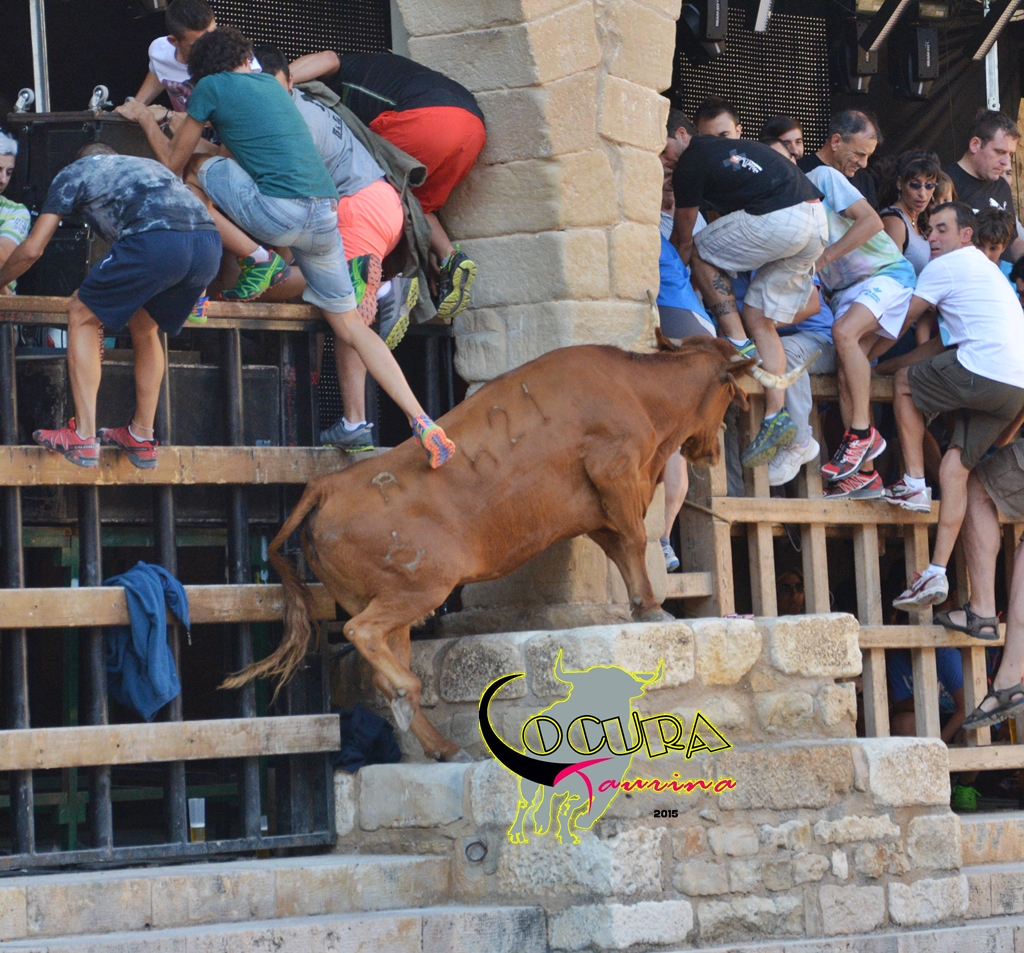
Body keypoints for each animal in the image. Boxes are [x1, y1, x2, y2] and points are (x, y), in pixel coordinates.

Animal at [223, 334, 814, 761]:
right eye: (731, 394)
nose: (710, 451)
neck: (636, 389)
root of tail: (328, 485)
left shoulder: (596, 508)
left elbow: (620, 547)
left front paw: (642, 603)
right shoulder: (616, 472)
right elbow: (633, 541)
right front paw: (651, 607)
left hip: (391, 602)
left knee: (380, 662)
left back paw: (442, 744)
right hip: (418, 589)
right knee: (362, 636)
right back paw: (413, 699)